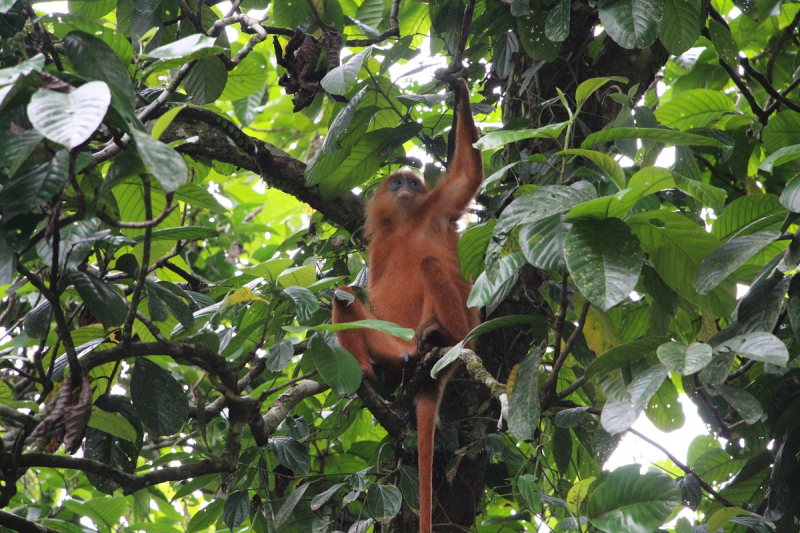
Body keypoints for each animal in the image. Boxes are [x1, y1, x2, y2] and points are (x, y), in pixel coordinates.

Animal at [332, 79, 482, 532]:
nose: (405, 188)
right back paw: (366, 372)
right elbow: (365, 292)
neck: (405, 224)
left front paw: (459, 88)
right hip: (394, 349)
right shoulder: (379, 246)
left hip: (459, 334)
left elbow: (467, 174)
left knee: (433, 266)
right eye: (396, 183)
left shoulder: (438, 208)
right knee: (344, 294)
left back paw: (441, 334)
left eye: (412, 184)